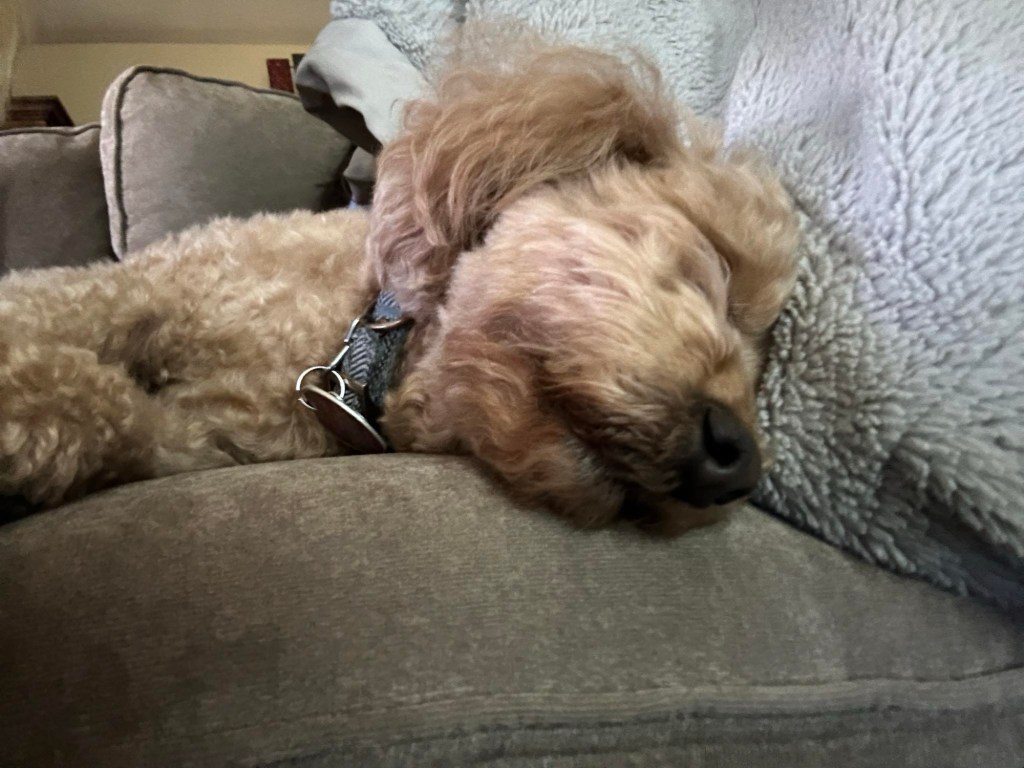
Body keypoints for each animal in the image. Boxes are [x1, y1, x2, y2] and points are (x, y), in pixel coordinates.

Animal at [0, 29, 799, 533]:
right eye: (713, 265)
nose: (735, 465)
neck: (358, 348)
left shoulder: (194, 439)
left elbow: (109, 415)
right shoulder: (130, 290)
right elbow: (50, 310)